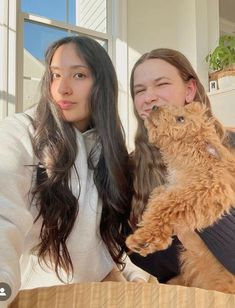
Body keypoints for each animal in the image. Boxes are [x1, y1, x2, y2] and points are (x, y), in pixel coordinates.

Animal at [126, 101, 235, 294]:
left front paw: (143, 240)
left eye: (180, 119)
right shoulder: (172, 187)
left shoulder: (208, 190)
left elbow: (167, 205)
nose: (154, 106)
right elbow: (158, 197)